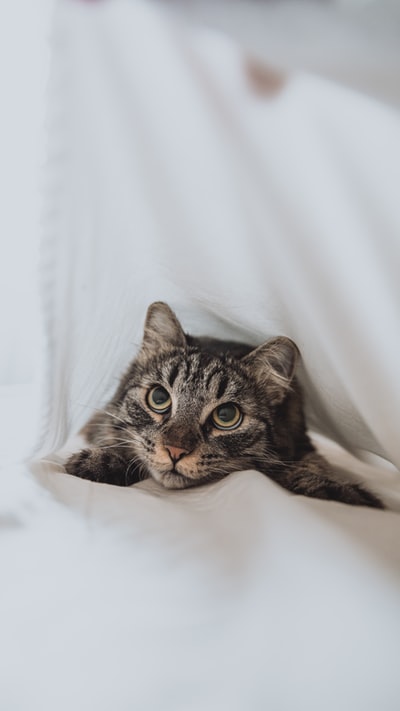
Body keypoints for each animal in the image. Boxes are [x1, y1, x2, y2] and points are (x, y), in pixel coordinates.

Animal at [64, 304, 382, 508]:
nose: (175, 452)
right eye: (159, 398)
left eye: (226, 416)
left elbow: (306, 470)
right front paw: (99, 461)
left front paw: (335, 491)